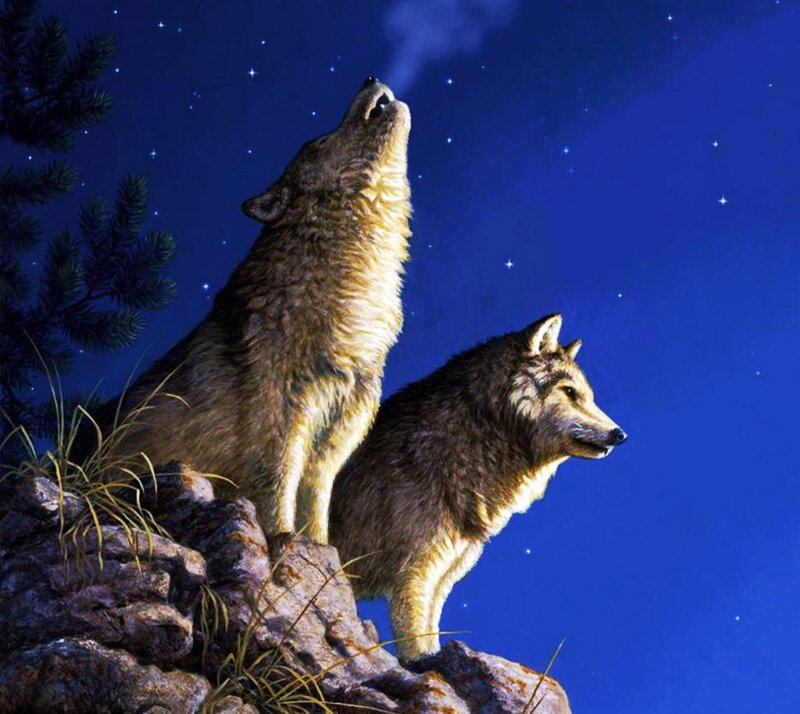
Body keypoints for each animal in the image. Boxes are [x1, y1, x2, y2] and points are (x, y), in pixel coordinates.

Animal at [88, 78, 411, 542]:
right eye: (317, 143)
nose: (369, 78)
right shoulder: (278, 424)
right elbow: (279, 490)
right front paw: (284, 541)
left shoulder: (336, 438)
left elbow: (317, 504)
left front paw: (321, 552)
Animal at [329, 313, 627, 661]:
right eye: (569, 391)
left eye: (588, 396)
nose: (620, 435)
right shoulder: (413, 573)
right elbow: (414, 636)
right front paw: (420, 664)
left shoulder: (443, 575)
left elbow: (431, 629)